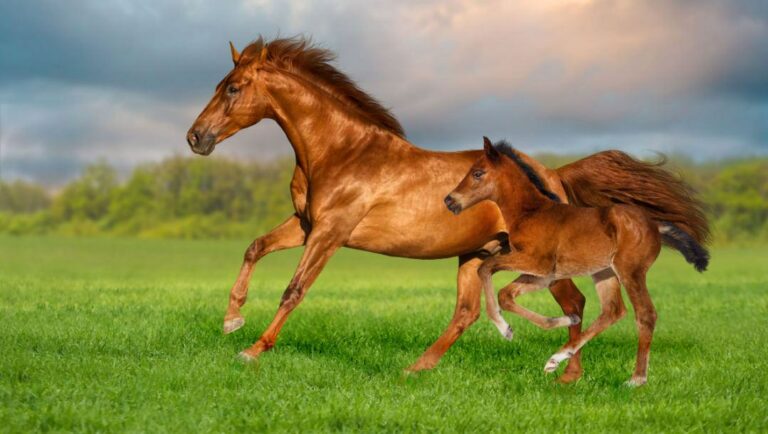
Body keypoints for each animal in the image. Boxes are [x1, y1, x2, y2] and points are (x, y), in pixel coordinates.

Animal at [444, 137, 709, 385]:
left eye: (478, 173)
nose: (449, 200)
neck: (531, 213)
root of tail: (655, 225)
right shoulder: (544, 275)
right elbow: (505, 294)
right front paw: (559, 321)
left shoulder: (536, 263)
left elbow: (485, 267)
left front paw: (503, 328)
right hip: (604, 273)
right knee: (613, 310)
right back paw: (556, 359)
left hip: (630, 271)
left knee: (645, 314)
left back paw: (636, 379)